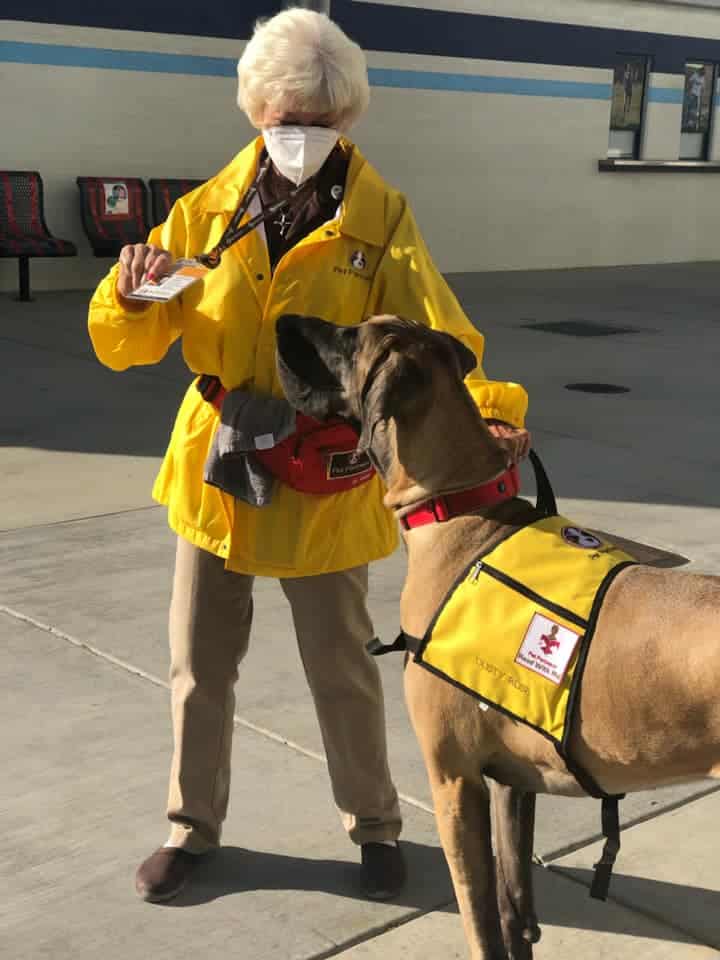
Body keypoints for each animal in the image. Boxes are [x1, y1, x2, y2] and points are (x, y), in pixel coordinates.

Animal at [276, 312, 720, 956]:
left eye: (350, 337)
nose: (281, 319)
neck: (459, 509)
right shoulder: (514, 781)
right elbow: (516, 914)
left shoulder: (454, 781)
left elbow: (480, 920)